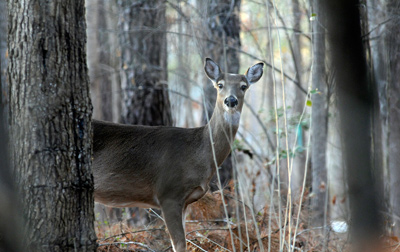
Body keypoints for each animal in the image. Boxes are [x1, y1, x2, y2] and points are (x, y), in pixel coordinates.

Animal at [92, 58, 264, 251]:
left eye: (243, 86)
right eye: (220, 85)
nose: (231, 100)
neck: (198, 154)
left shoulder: (185, 201)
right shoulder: (168, 194)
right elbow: (179, 244)